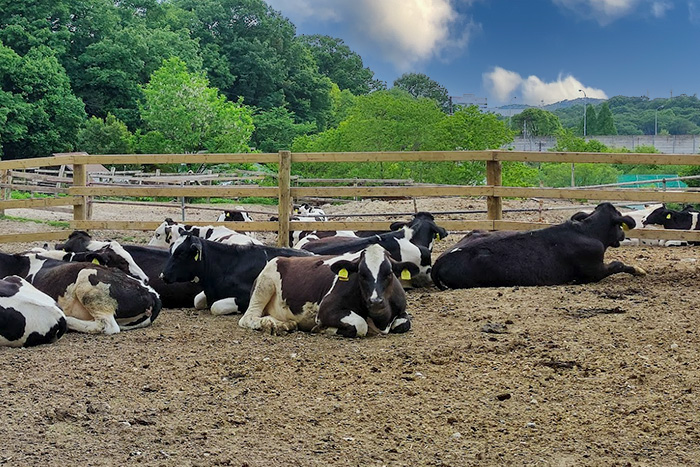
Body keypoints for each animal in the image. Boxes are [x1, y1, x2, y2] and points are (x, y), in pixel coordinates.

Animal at [160, 236, 314, 316]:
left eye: (181, 254)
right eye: (171, 251)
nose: (163, 275)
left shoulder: (247, 295)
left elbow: (216, 306)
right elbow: (197, 300)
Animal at [238, 243, 418, 338]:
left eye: (389, 273)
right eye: (361, 273)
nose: (375, 301)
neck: (381, 320)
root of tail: (282, 257)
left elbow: (404, 323)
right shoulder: (326, 310)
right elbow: (360, 325)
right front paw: (323, 329)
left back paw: (285, 324)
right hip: (264, 285)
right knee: (248, 317)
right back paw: (270, 324)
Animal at [430, 204, 648, 290]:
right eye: (619, 223)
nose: (623, 235)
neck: (588, 232)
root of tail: (440, 260)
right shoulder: (594, 271)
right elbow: (618, 264)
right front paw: (639, 270)